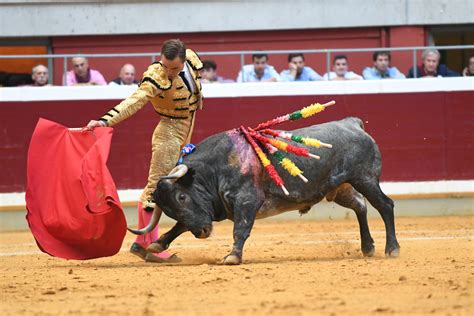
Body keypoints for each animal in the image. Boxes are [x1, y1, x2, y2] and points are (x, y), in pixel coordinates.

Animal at [129, 117, 400, 266]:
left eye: (182, 197)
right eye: (169, 210)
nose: (203, 233)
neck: (215, 168)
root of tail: (352, 124)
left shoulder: (247, 201)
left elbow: (240, 229)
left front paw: (232, 257)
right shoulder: (209, 209)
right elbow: (181, 226)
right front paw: (157, 246)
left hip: (365, 178)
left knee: (384, 205)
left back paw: (392, 249)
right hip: (341, 188)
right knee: (360, 206)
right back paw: (368, 247)